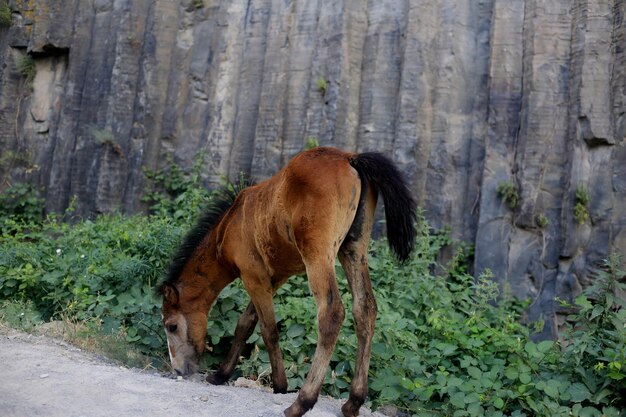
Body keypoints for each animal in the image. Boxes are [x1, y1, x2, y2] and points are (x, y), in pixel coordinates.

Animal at [160, 146, 414, 416]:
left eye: (171, 326)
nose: (178, 369)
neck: (228, 227)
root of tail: (349, 157)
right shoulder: (273, 277)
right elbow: (245, 324)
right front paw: (221, 375)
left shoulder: (252, 276)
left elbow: (267, 330)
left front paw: (280, 385)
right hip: (353, 250)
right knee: (365, 309)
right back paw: (353, 402)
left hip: (318, 255)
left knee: (332, 314)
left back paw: (301, 402)